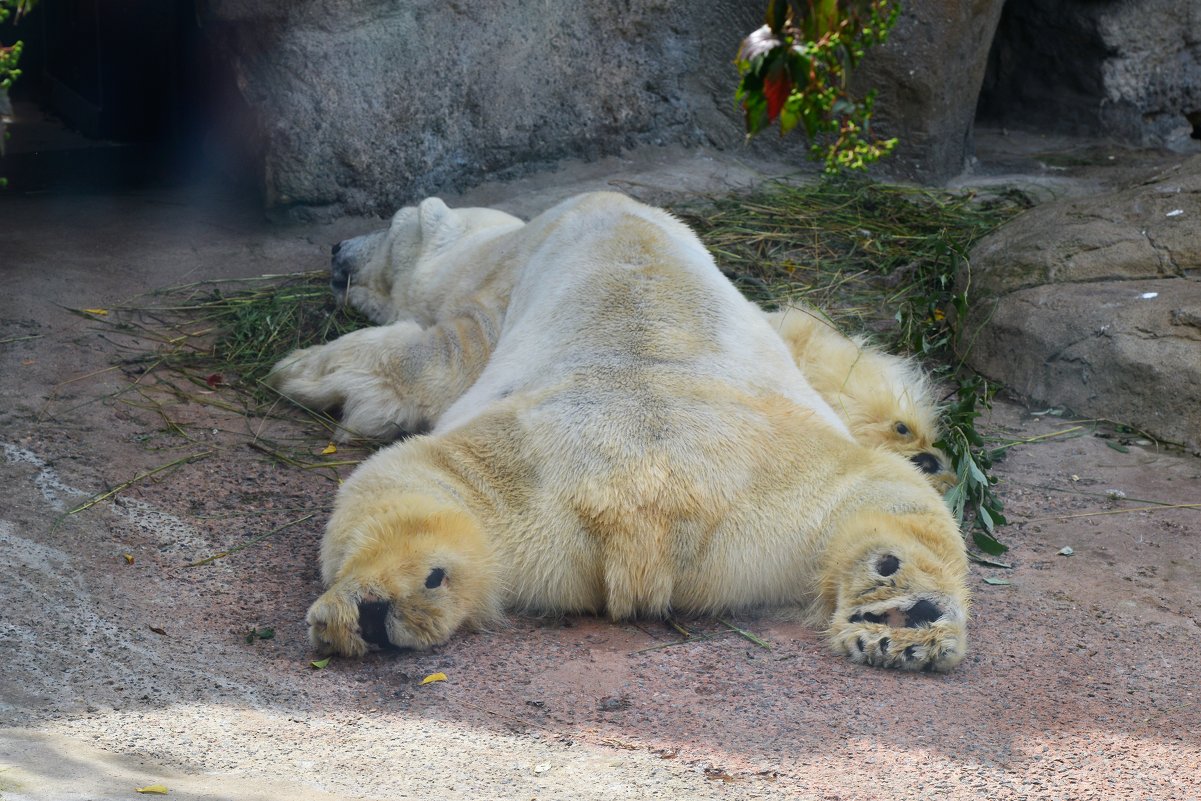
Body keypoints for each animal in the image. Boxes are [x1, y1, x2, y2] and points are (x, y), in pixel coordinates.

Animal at [267, 192, 970, 672]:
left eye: (391, 223)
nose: (335, 248)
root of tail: (646, 511)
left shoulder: (498, 290)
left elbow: (433, 358)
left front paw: (302, 369)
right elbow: (797, 335)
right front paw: (911, 436)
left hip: (517, 467)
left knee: (394, 480)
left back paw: (368, 604)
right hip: (794, 491)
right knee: (892, 502)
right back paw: (905, 612)